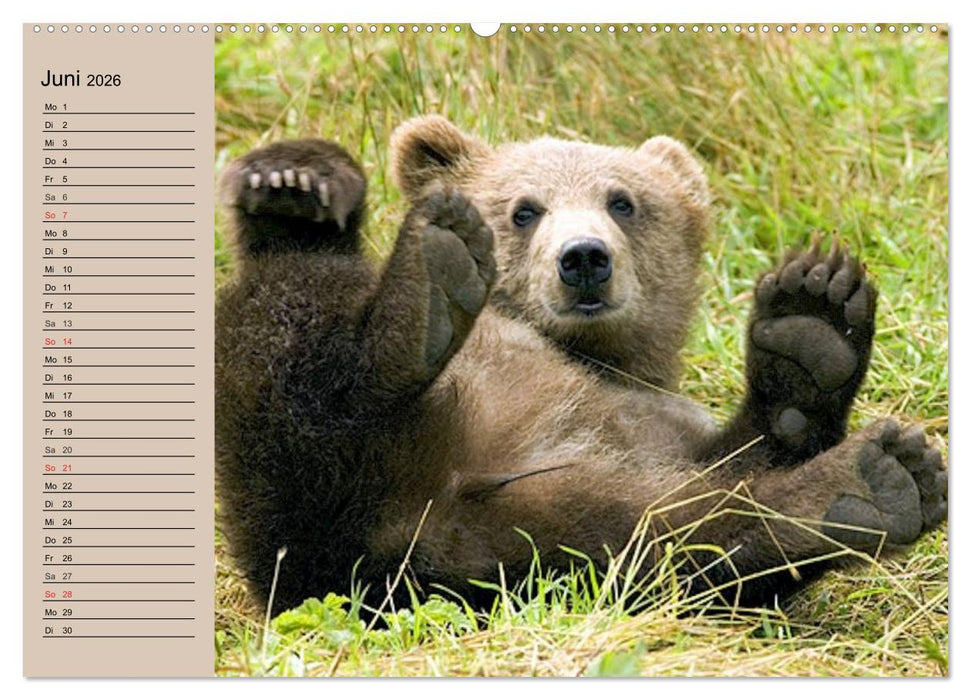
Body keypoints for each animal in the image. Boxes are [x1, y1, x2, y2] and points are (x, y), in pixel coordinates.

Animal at [215, 116, 947, 615]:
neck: (592, 356)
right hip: (315, 500)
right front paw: (294, 179)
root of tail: (407, 522)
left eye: (622, 200)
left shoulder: (652, 423)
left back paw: (870, 478)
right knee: (290, 334)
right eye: (524, 209)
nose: (584, 258)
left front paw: (811, 325)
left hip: (524, 536)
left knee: (670, 536)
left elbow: (740, 464)